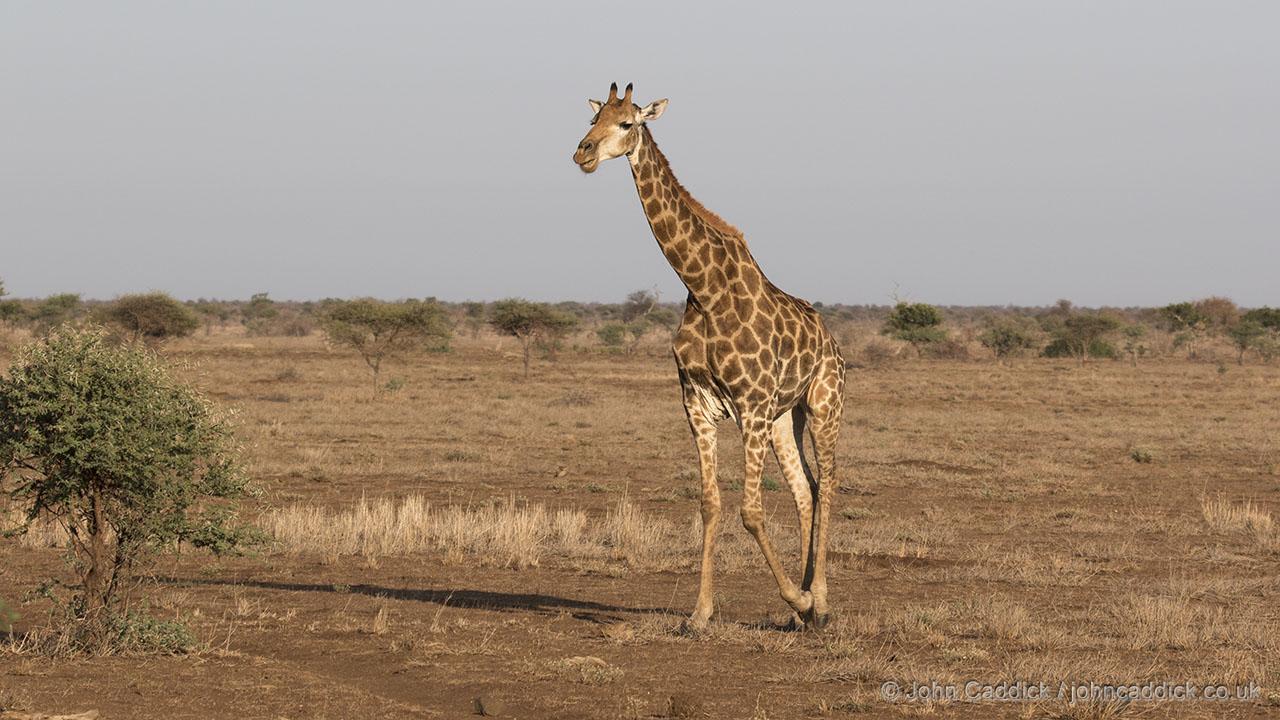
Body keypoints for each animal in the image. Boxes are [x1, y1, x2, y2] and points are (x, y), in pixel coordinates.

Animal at [573, 83, 846, 630]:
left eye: (628, 123)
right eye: (593, 120)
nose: (583, 153)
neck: (704, 290)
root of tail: (831, 342)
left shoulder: (751, 406)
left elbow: (751, 512)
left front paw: (799, 598)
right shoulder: (698, 405)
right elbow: (709, 505)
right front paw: (699, 613)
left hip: (823, 404)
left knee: (827, 485)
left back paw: (820, 603)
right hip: (785, 417)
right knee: (805, 488)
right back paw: (802, 611)